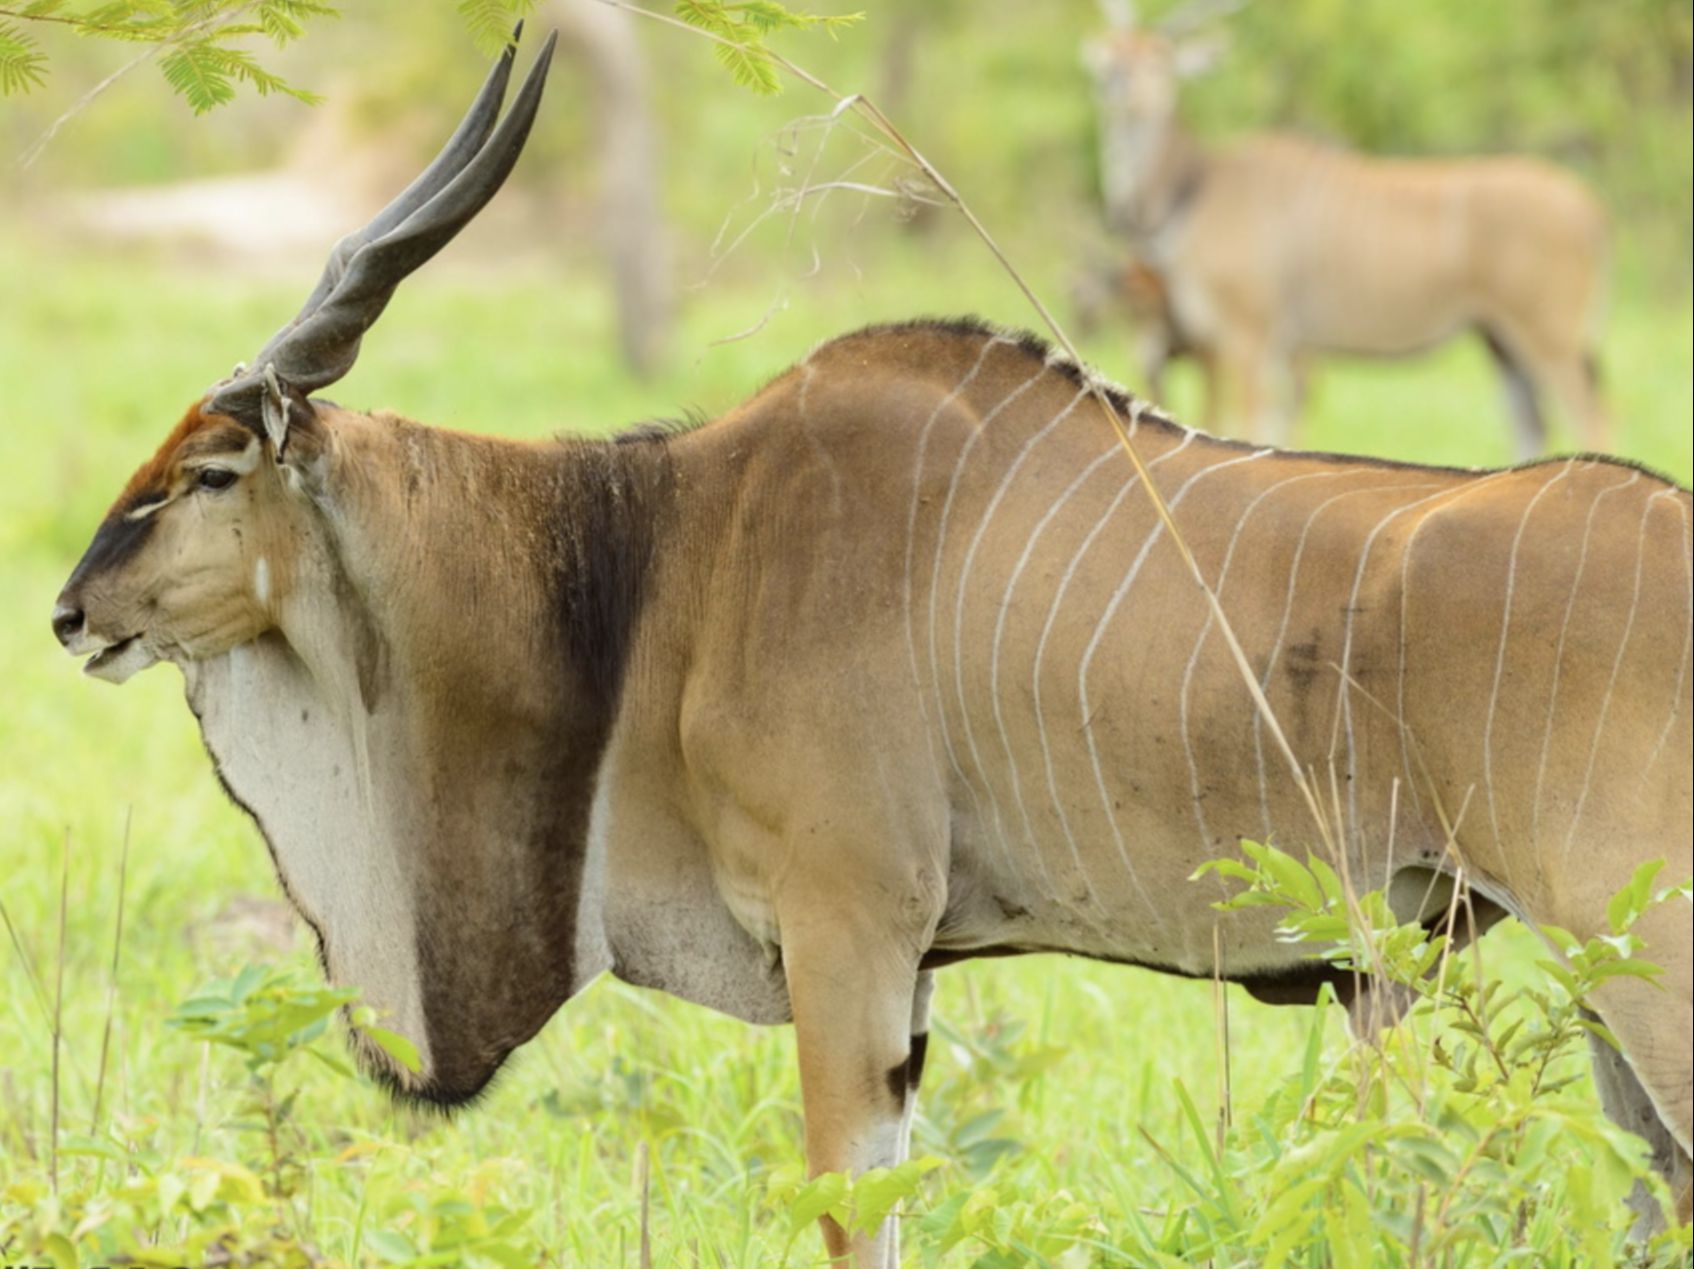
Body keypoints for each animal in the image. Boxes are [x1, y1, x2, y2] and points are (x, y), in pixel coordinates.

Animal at [49, 34, 1680, 1260]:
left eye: (211, 470)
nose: (70, 612)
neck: (665, 557)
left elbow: (851, 1209)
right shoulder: (908, 981)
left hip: (1645, 968)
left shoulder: (848, 940)